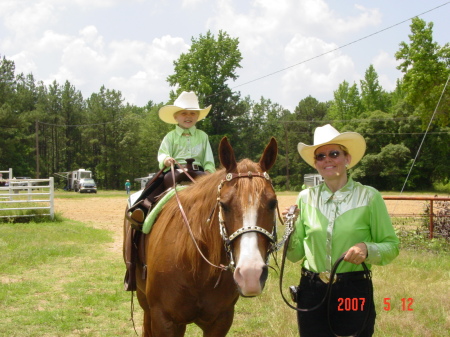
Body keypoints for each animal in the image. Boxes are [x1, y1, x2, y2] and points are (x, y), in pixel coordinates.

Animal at [123, 136, 278, 334]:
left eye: (273, 203)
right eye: (224, 204)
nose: (251, 273)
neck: (196, 266)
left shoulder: (221, 321)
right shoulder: (164, 320)